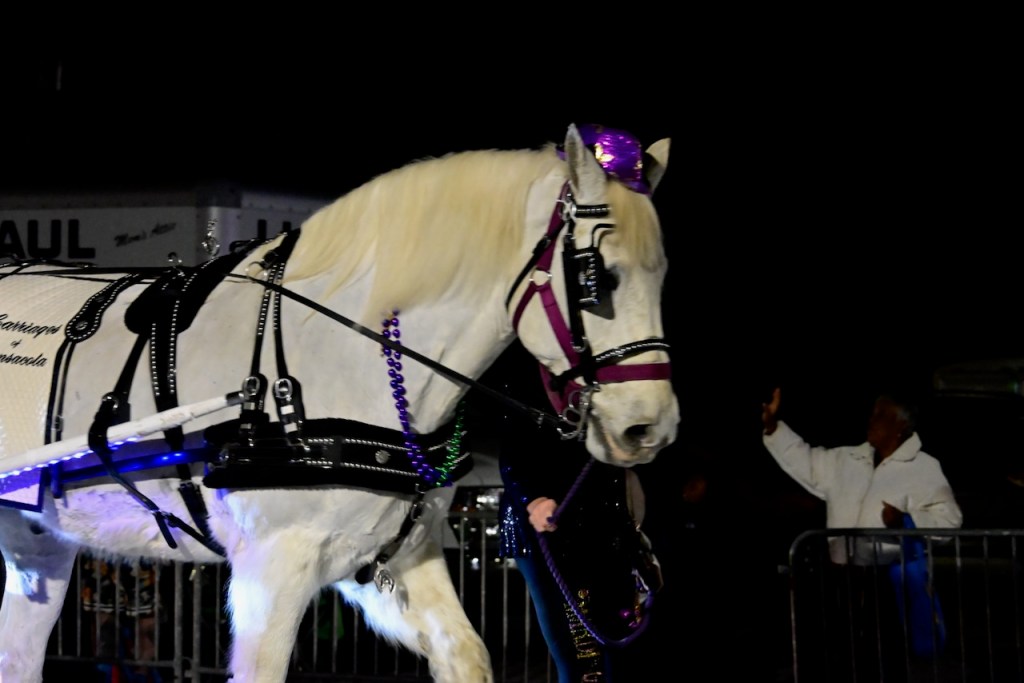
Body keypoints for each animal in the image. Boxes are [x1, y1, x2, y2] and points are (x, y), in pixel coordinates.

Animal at [0, 123, 678, 683]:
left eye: (661, 275)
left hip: (37, 543)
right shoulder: (270, 573)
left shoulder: (396, 557)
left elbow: (466, 654)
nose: (652, 427)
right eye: (598, 278)